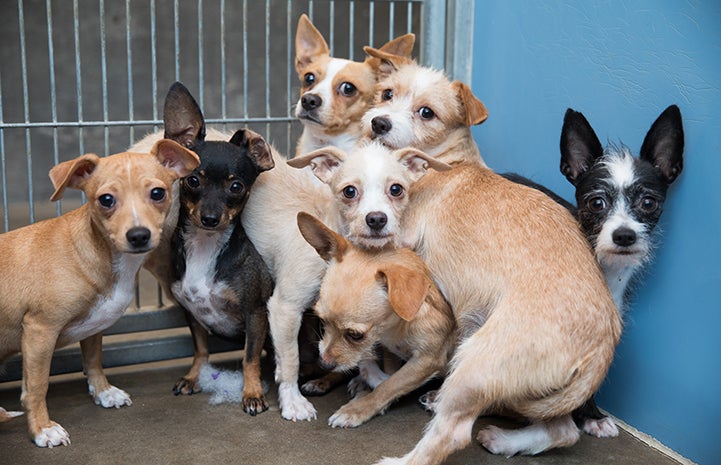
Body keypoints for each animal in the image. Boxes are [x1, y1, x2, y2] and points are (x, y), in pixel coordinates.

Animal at [0, 141, 200, 446]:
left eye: (158, 193)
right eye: (106, 200)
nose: (138, 235)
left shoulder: (94, 327)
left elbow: (93, 361)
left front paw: (104, 392)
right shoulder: (39, 330)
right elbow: (37, 386)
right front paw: (42, 429)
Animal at [296, 211, 452, 428]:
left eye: (355, 335)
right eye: (322, 321)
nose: (324, 364)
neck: (393, 329)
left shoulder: (427, 359)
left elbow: (388, 386)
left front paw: (357, 409)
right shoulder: (389, 352)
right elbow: (388, 377)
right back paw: (322, 380)